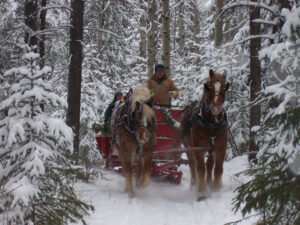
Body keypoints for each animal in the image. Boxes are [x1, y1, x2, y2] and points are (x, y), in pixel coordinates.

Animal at [180, 68, 230, 200]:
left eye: (224, 86)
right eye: (208, 86)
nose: (216, 107)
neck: (211, 123)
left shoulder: (221, 146)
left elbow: (218, 168)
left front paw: (216, 188)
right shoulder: (199, 148)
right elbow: (200, 169)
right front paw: (201, 192)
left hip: (211, 148)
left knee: (210, 164)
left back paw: (209, 183)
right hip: (188, 147)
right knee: (193, 165)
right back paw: (194, 184)